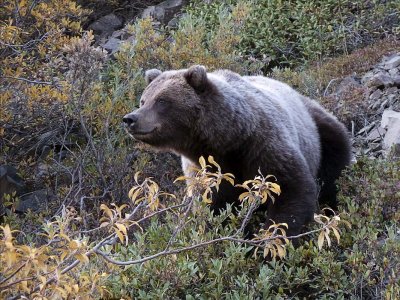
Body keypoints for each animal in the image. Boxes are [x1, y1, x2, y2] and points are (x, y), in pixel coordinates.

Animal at [122, 65, 350, 237]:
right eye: (143, 100)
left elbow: (291, 188)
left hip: (319, 129)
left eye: (161, 101)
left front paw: (270, 244)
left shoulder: (263, 146)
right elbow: (212, 208)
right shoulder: (205, 174)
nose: (130, 118)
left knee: (334, 165)